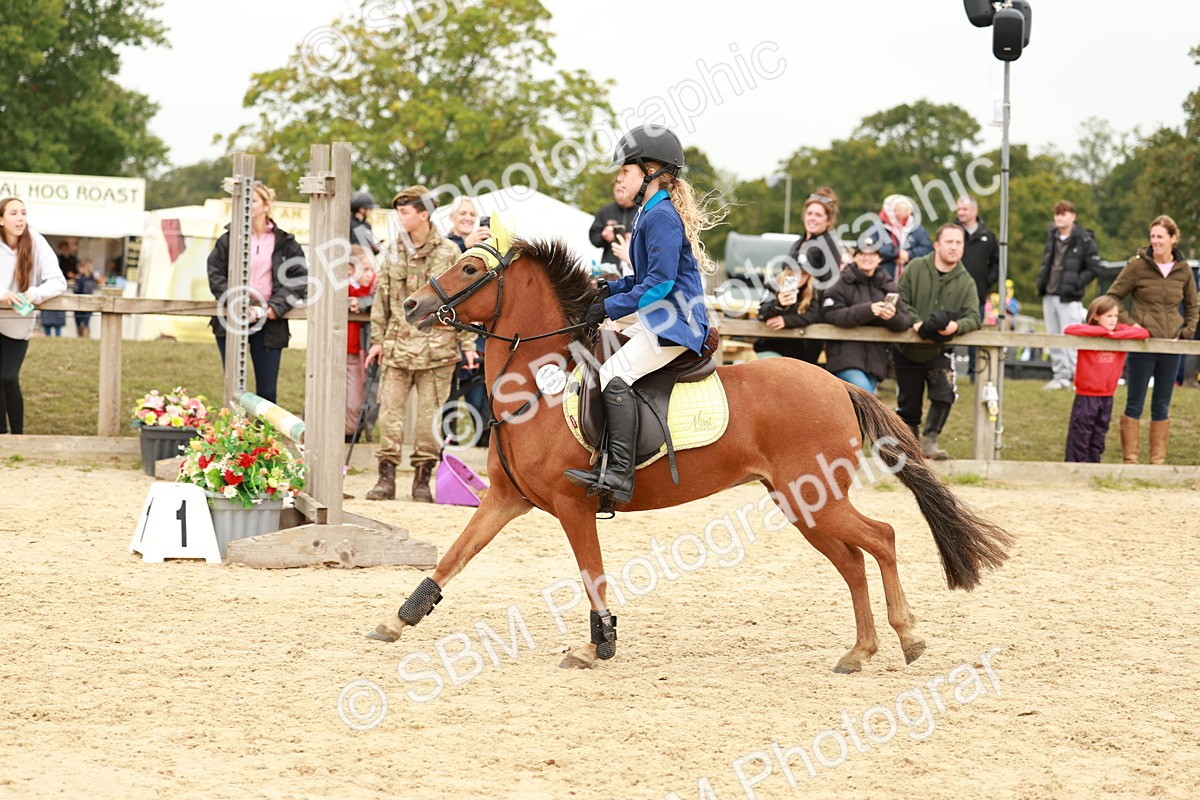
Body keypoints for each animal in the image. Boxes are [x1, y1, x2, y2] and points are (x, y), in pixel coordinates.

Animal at [368, 237, 1013, 673]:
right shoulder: (505, 500)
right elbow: (452, 557)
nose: (412, 308)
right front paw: (395, 620)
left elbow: (592, 575)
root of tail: (837, 385)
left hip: (817, 499)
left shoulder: (573, 506)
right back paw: (859, 651)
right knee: (853, 562)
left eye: (470, 268)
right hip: (802, 504)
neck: (540, 385)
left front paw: (598, 645)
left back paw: (908, 638)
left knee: (882, 538)